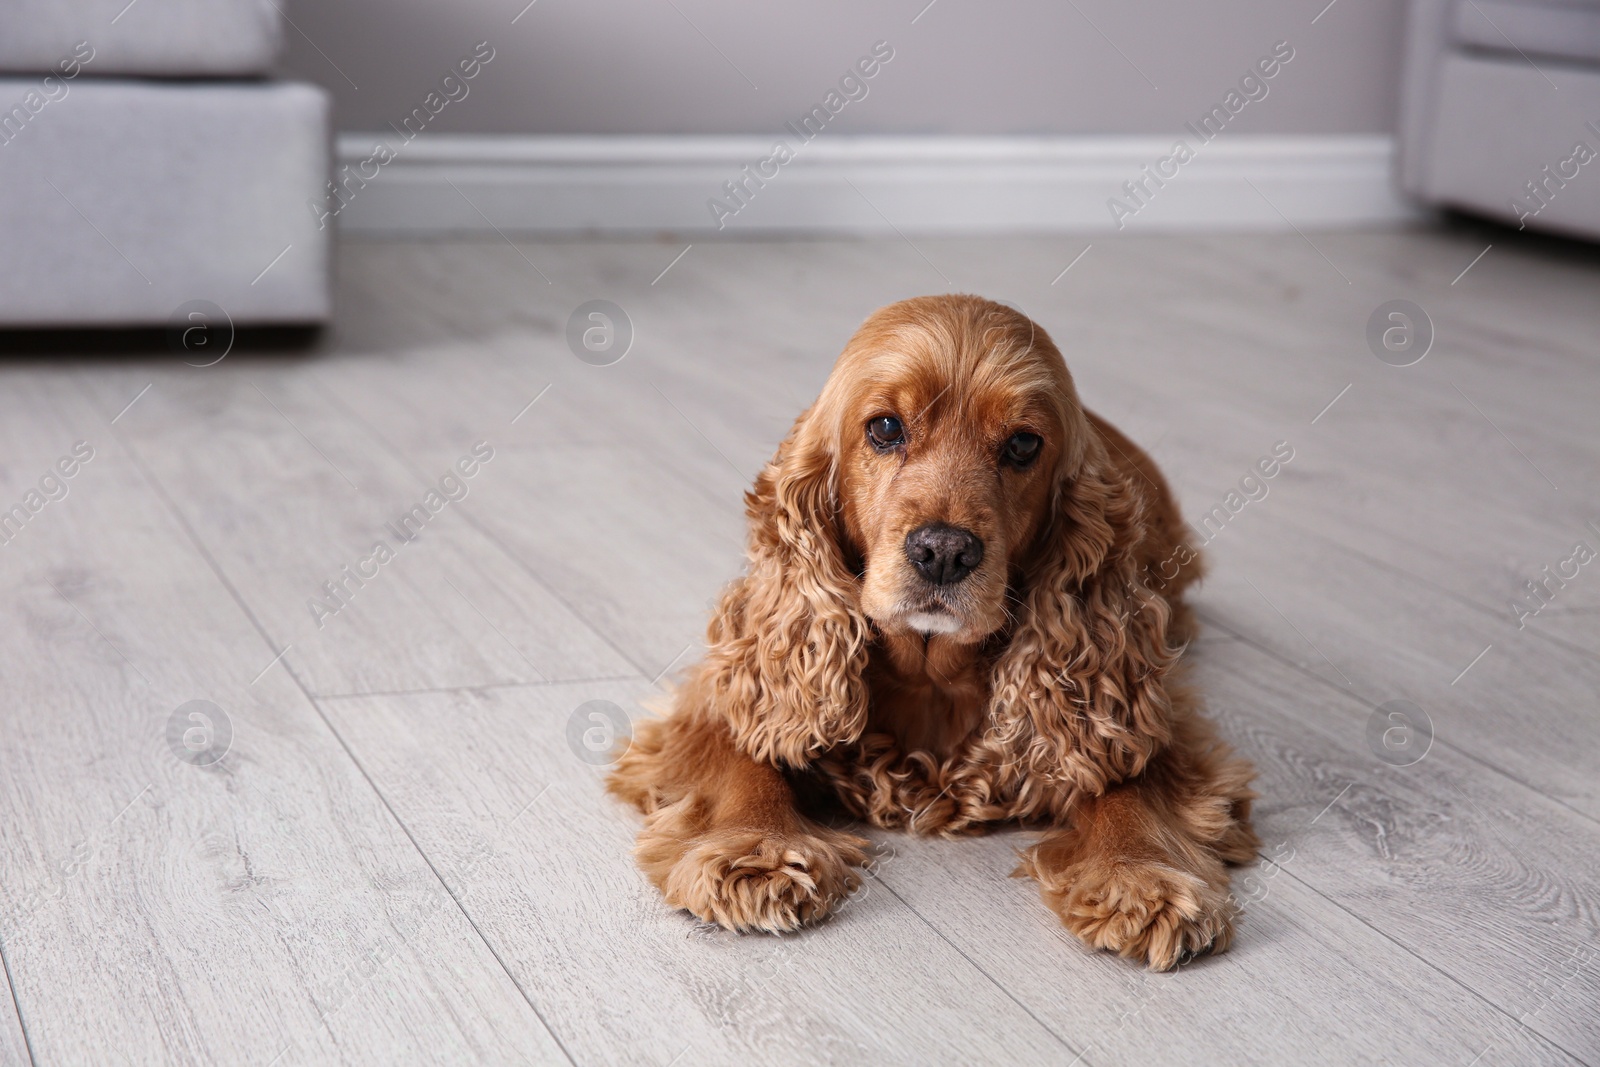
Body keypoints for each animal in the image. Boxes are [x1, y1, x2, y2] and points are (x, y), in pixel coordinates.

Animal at [604, 295, 1254, 972]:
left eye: (1024, 444)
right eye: (886, 428)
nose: (944, 551)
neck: (929, 675)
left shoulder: (1145, 703)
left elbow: (1129, 775)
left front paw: (1140, 874)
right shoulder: (722, 689)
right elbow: (744, 754)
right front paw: (752, 847)